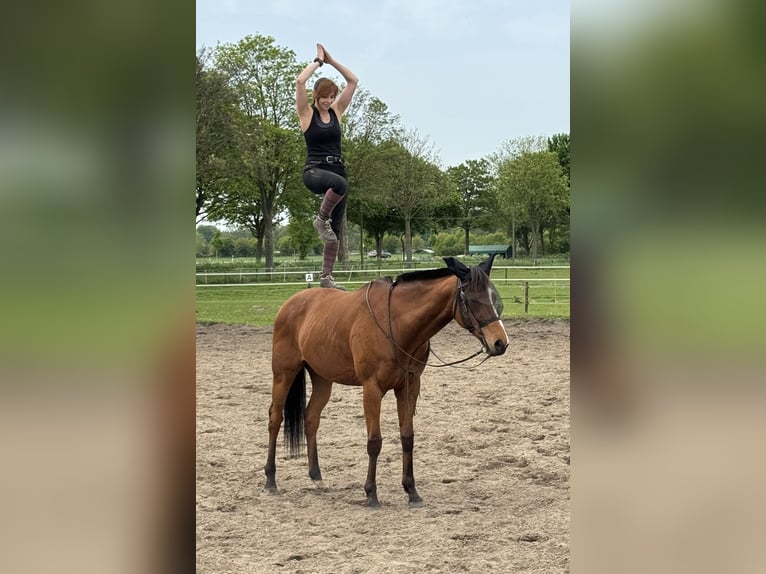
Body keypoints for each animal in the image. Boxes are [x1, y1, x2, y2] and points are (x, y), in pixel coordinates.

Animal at [266, 256, 510, 508]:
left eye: (494, 297)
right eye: (473, 299)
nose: (500, 343)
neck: (396, 323)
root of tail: (290, 304)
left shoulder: (409, 387)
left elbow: (407, 437)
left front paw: (411, 490)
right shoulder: (372, 388)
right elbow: (374, 441)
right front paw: (371, 493)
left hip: (323, 379)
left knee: (311, 419)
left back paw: (316, 477)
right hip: (284, 374)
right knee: (275, 418)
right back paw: (271, 479)